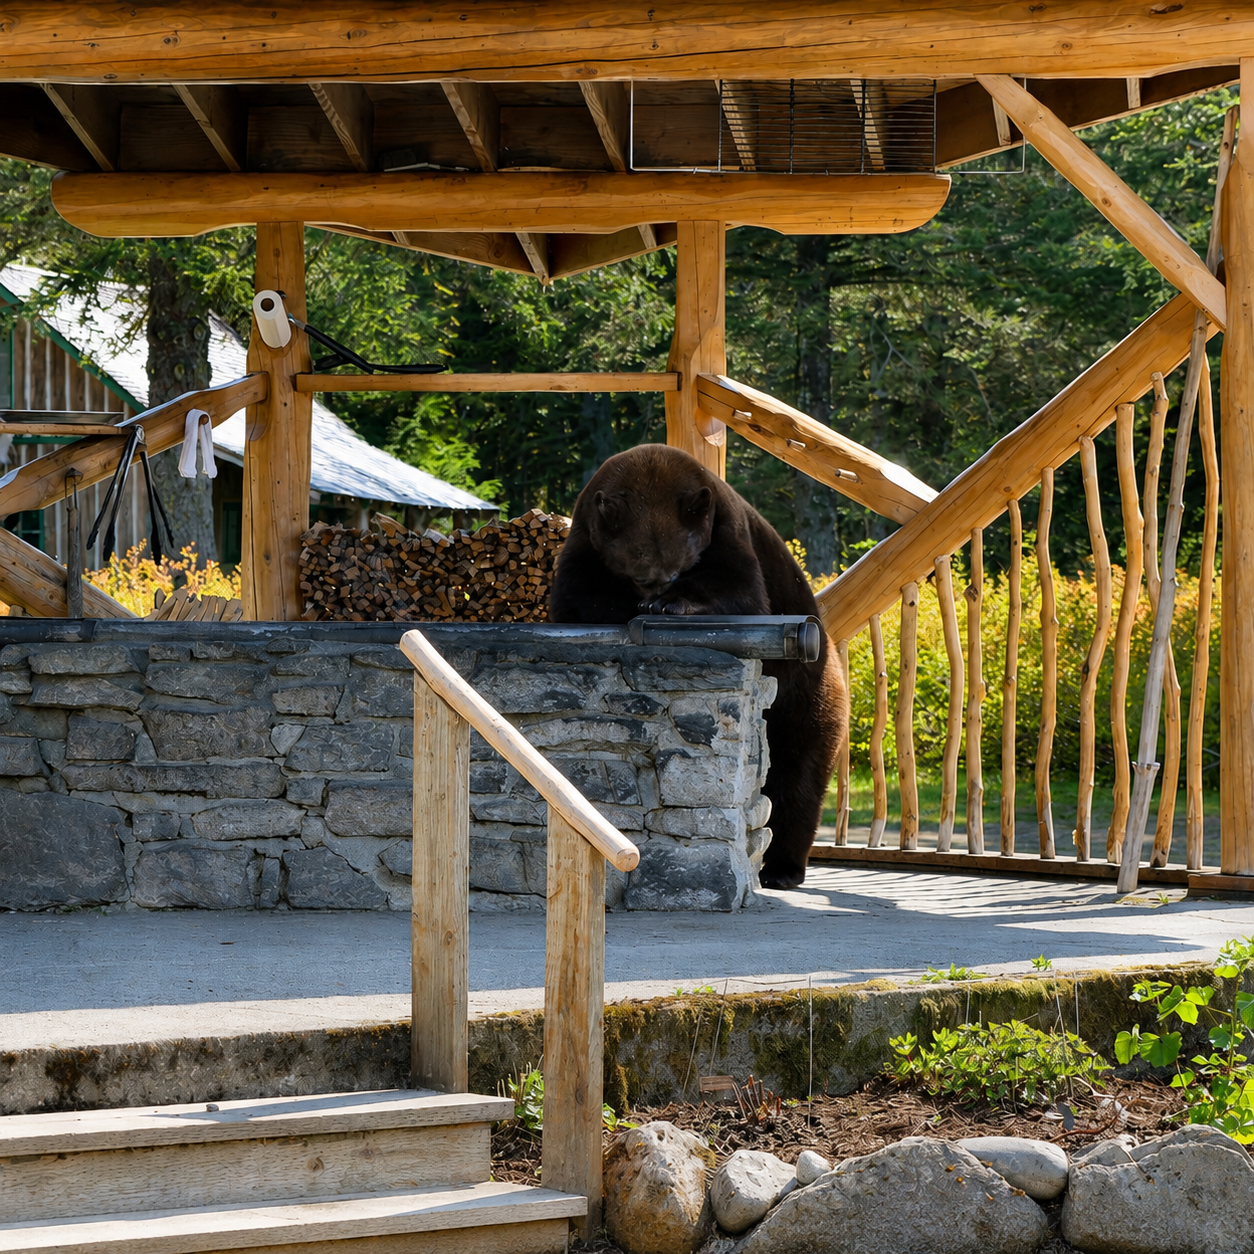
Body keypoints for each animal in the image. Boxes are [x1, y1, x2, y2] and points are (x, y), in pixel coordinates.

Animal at [549, 444, 847, 889]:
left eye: (677, 568)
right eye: (639, 571)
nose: (656, 588)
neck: (654, 472)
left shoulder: (727, 530)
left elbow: (742, 592)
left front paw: (671, 604)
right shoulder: (586, 537)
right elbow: (577, 593)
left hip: (806, 694)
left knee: (799, 773)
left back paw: (782, 868)